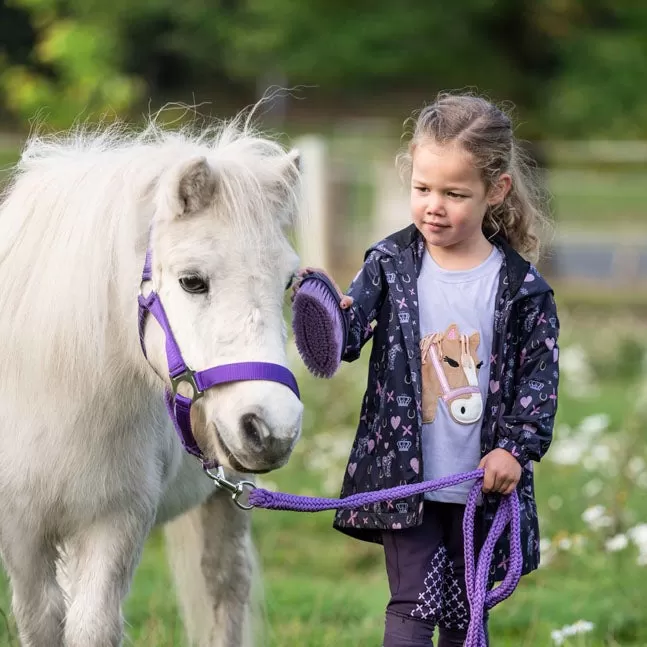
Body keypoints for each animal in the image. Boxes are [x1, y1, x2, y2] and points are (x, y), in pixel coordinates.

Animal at [0, 111, 306, 647]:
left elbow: (91, 628)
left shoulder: (116, 526)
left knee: (225, 588)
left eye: (288, 282)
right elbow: (43, 623)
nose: (272, 429)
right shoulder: (22, 536)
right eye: (192, 281)